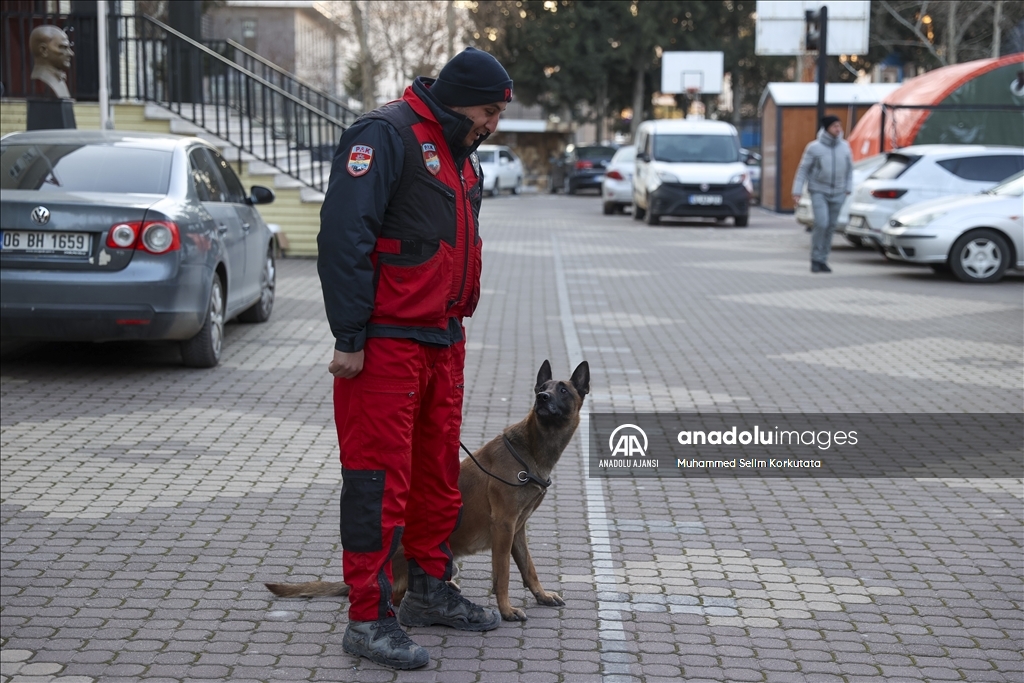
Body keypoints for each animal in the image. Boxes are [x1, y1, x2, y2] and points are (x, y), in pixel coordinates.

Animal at [266, 360, 593, 622]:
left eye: (563, 390)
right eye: (543, 387)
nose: (542, 397)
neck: (530, 449)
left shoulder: (518, 528)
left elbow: (528, 567)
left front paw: (541, 595)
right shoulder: (504, 526)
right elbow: (503, 574)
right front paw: (506, 609)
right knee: (397, 596)